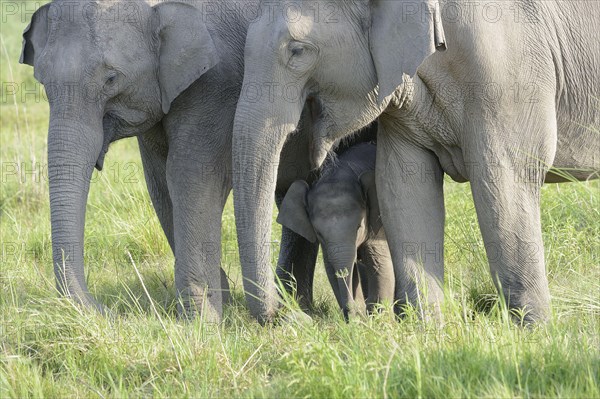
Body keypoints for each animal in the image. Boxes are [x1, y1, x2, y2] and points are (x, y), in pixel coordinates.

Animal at [21, 0, 350, 322]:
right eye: (43, 81)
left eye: (111, 79)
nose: (111, 312)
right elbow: (159, 183)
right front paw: (220, 302)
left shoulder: (215, 85)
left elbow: (189, 176)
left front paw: (203, 321)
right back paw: (298, 306)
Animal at [278, 142, 398, 320]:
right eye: (319, 233)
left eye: (359, 227)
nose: (352, 311)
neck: (341, 173)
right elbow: (331, 268)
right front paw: (357, 319)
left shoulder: (378, 222)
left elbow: (380, 263)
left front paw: (377, 320)